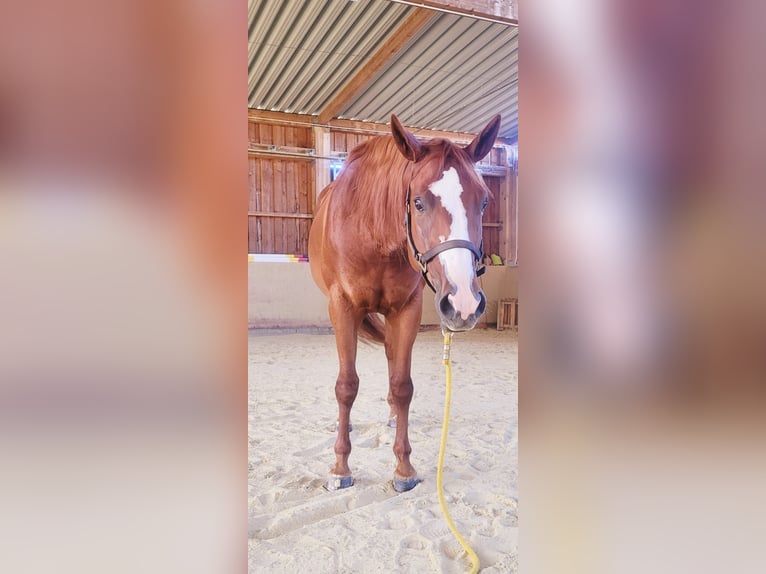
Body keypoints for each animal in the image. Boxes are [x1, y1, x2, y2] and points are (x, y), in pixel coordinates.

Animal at [308, 115, 500, 492]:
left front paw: (403, 467)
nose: (464, 303)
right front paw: (340, 467)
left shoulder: (406, 310)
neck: (373, 231)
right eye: (419, 202)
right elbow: (346, 386)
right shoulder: (342, 308)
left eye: (483, 202)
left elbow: (402, 385)